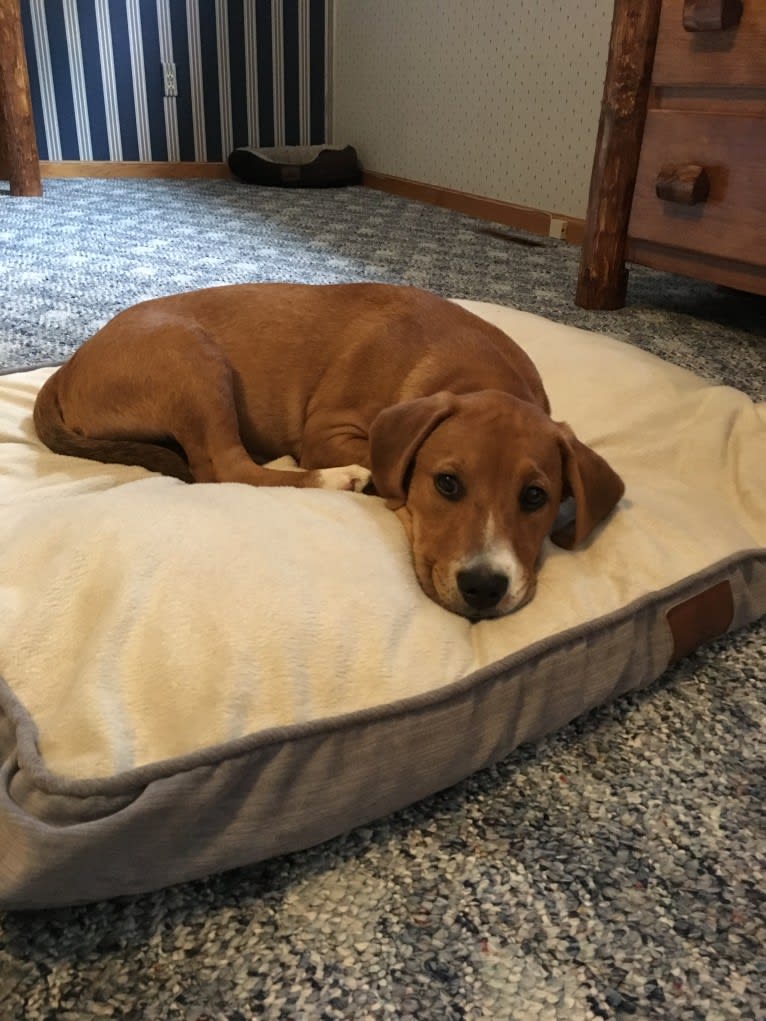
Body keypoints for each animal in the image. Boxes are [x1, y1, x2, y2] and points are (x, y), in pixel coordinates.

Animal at [32, 283, 625, 616]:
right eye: (446, 483)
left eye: (535, 497)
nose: (483, 587)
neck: (471, 371)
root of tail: (66, 368)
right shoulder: (327, 431)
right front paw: (365, 477)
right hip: (193, 360)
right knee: (226, 467)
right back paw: (341, 479)